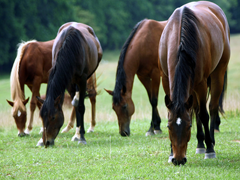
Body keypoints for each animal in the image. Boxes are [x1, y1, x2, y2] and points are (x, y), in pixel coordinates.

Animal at [158, 1, 230, 166]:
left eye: (188, 126)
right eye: (168, 126)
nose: (178, 160)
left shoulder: (201, 84)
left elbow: (204, 114)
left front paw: (210, 149)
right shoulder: (166, 80)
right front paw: (170, 153)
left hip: (217, 74)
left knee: (212, 107)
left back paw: (210, 142)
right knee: (196, 109)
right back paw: (200, 144)